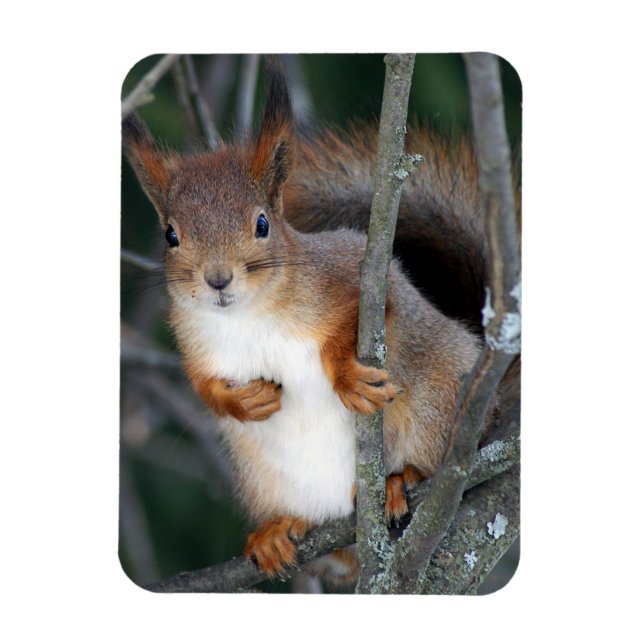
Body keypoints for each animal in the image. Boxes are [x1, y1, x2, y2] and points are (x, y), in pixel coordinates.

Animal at [122, 58, 509, 581]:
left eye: (262, 224)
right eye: (171, 235)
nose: (218, 280)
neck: (248, 316)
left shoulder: (354, 269)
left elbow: (365, 316)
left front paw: (346, 376)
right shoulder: (194, 340)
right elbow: (202, 386)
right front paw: (243, 402)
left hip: (438, 406)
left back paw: (400, 480)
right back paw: (278, 532)